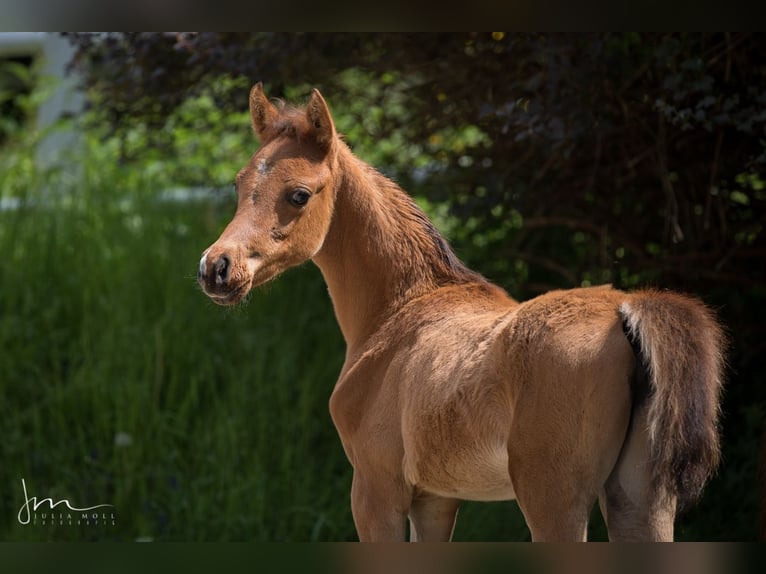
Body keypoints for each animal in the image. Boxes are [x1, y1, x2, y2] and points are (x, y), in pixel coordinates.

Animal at [198, 83, 728, 544]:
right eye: (240, 183)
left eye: (300, 194)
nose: (216, 268)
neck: (398, 311)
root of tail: (625, 310)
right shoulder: (436, 499)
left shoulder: (375, 490)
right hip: (640, 498)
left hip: (554, 498)